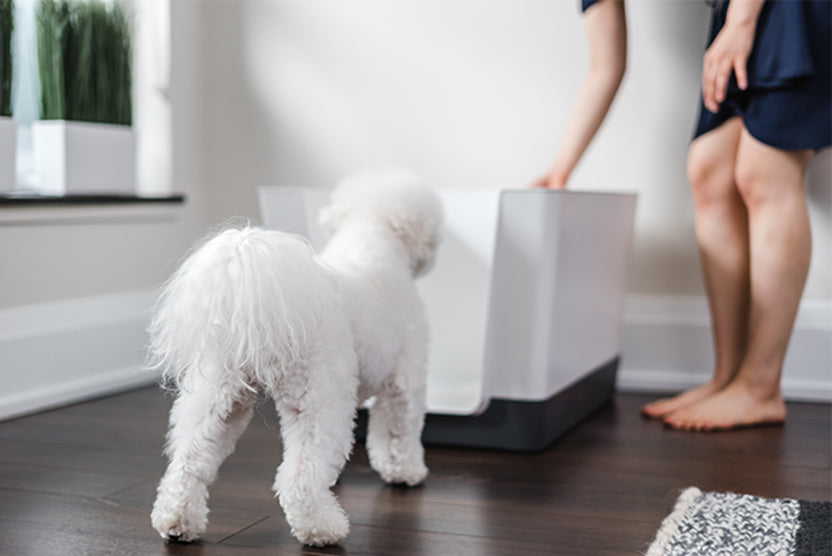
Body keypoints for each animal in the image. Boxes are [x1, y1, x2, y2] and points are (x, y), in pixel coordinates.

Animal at [148, 172, 442, 544]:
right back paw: (322, 528)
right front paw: (406, 472)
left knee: (188, 461)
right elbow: (399, 432)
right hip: (318, 400)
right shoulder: (404, 378)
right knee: (299, 478)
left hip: (217, 395)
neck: (370, 241)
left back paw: (177, 521)